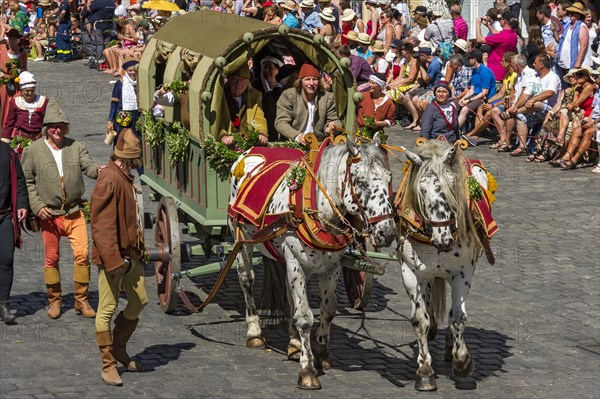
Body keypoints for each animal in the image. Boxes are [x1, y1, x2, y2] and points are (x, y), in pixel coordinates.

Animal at [227, 134, 396, 390]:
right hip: (242, 240)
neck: (318, 208)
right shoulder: (296, 261)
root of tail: (249, 149)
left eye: (389, 179)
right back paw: (255, 332)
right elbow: (305, 317)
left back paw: (294, 344)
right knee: (247, 280)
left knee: (288, 295)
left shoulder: (331, 267)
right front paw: (307, 370)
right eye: (362, 182)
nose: (387, 232)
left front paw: (321, 352)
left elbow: (328, 310)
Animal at [396, 139, 500, 392]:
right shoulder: (412, 273)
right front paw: (425, 371)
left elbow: (457, 317)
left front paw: (462, 361)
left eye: (452, 184)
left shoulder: (462, 273)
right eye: (422, 189)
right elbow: (420, 320)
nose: (443, 237)